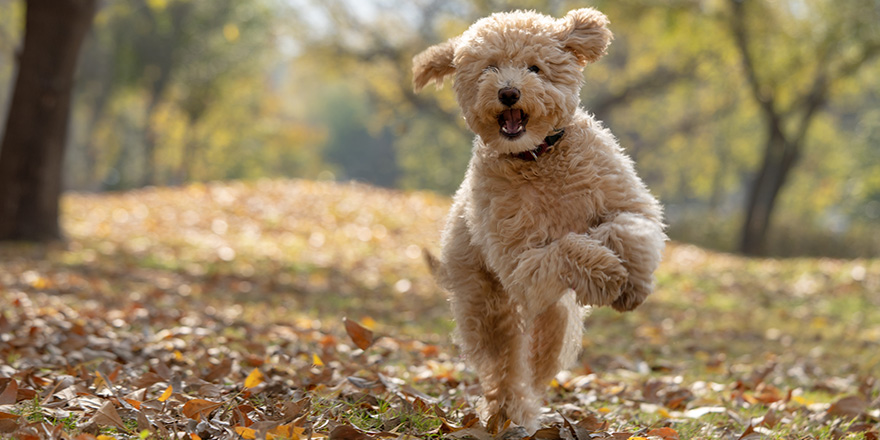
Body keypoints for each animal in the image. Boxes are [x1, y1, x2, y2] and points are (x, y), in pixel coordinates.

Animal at [412, 8, 668, 432]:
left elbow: (627, 228)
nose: (508, 93)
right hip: (488, 305)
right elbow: (567, 248)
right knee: (505, 367)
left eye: (535, 67)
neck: (537, 156)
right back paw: (509, 413)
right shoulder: (520, 262)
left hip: (553, 317)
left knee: (538, 358)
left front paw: (632, 284)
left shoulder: (627, 202)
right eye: (489, 68)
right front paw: (607, 274)